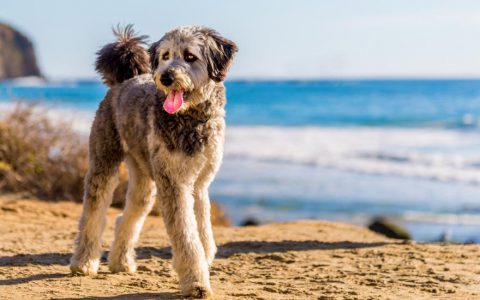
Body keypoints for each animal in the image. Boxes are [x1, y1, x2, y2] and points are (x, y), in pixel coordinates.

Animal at [69, 24, 238, 298]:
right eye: (166, 55)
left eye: (190, 56)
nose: (165, 77)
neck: (190, 119)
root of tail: (123, 81)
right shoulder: (174, 184)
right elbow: (187, 237)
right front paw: (196, 282)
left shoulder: (199, 185)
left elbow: (203, 231)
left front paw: (203, 261)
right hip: (104, 162)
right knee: (93, 214)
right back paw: (83, 262)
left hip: (144, 178)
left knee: (127, 216)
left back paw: (120, 261)